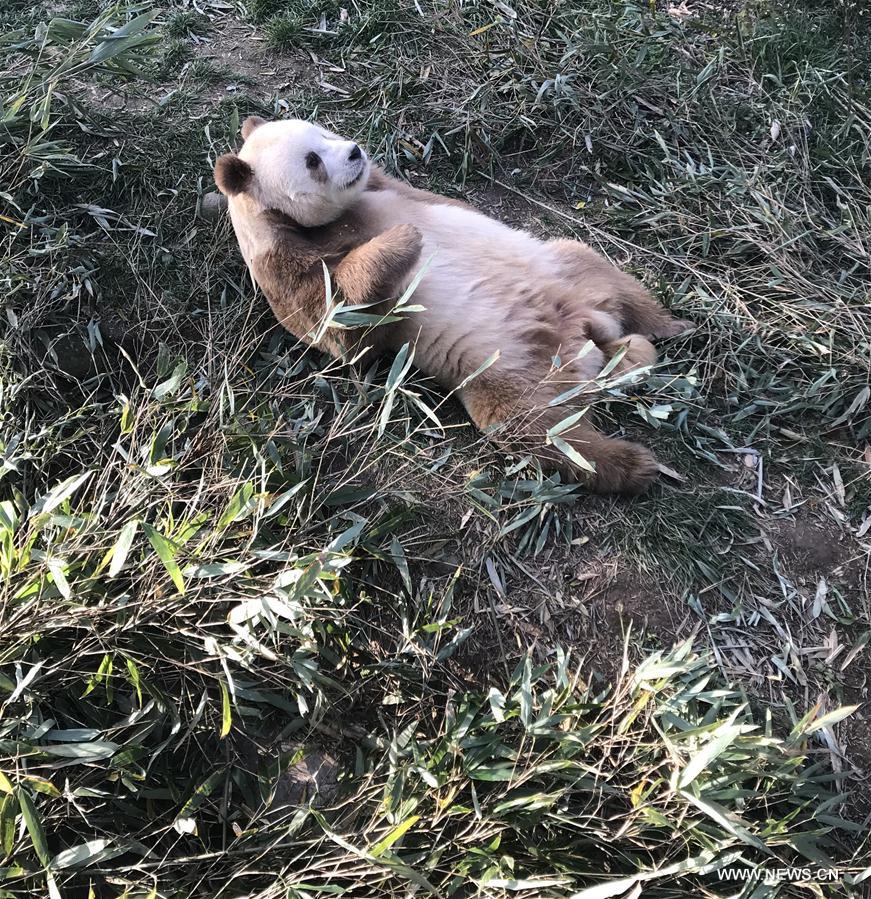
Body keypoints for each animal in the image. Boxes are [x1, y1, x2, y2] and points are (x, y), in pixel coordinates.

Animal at [214, 116, 692, 494]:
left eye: (324, 131)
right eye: (312, 160)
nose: (354, 151)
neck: (318, 223)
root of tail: (586, 339)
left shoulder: (389, 187)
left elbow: (443, 201)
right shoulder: (283, 261)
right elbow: (342, 326)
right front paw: (405, 240)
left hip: (563, 270)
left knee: (608, 277)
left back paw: (672, 328)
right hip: (506, 369)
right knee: (540, 429)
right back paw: (633, 463)